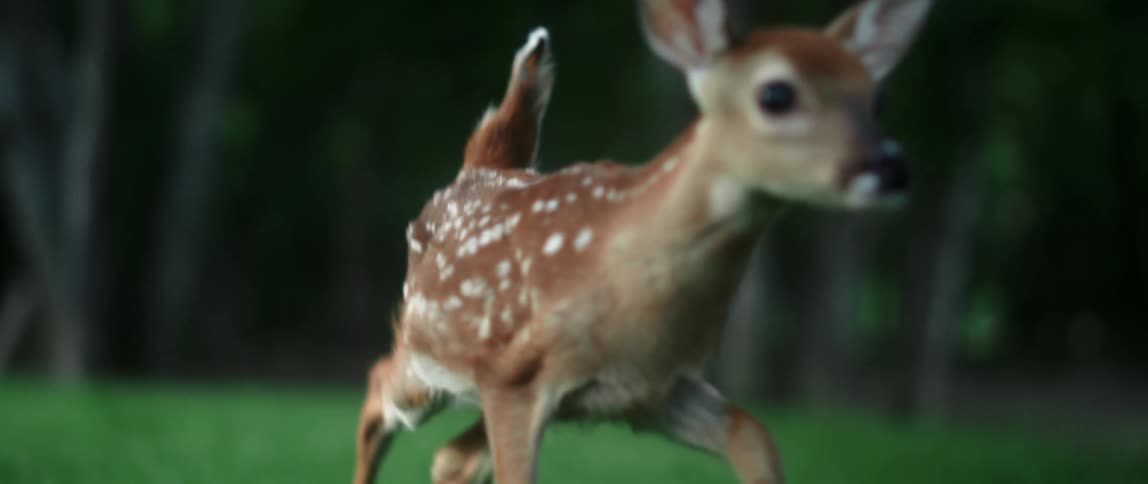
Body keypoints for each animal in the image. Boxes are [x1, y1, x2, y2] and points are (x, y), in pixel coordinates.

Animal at [353, 1, 933, 483]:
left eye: (878, 97)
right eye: (776, 93)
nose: (891, 168)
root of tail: (479, 166)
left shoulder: (655, 389)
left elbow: (753, 435)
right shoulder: (514, 379)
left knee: (453, 456)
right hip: (431, 354)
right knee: (380, 388)